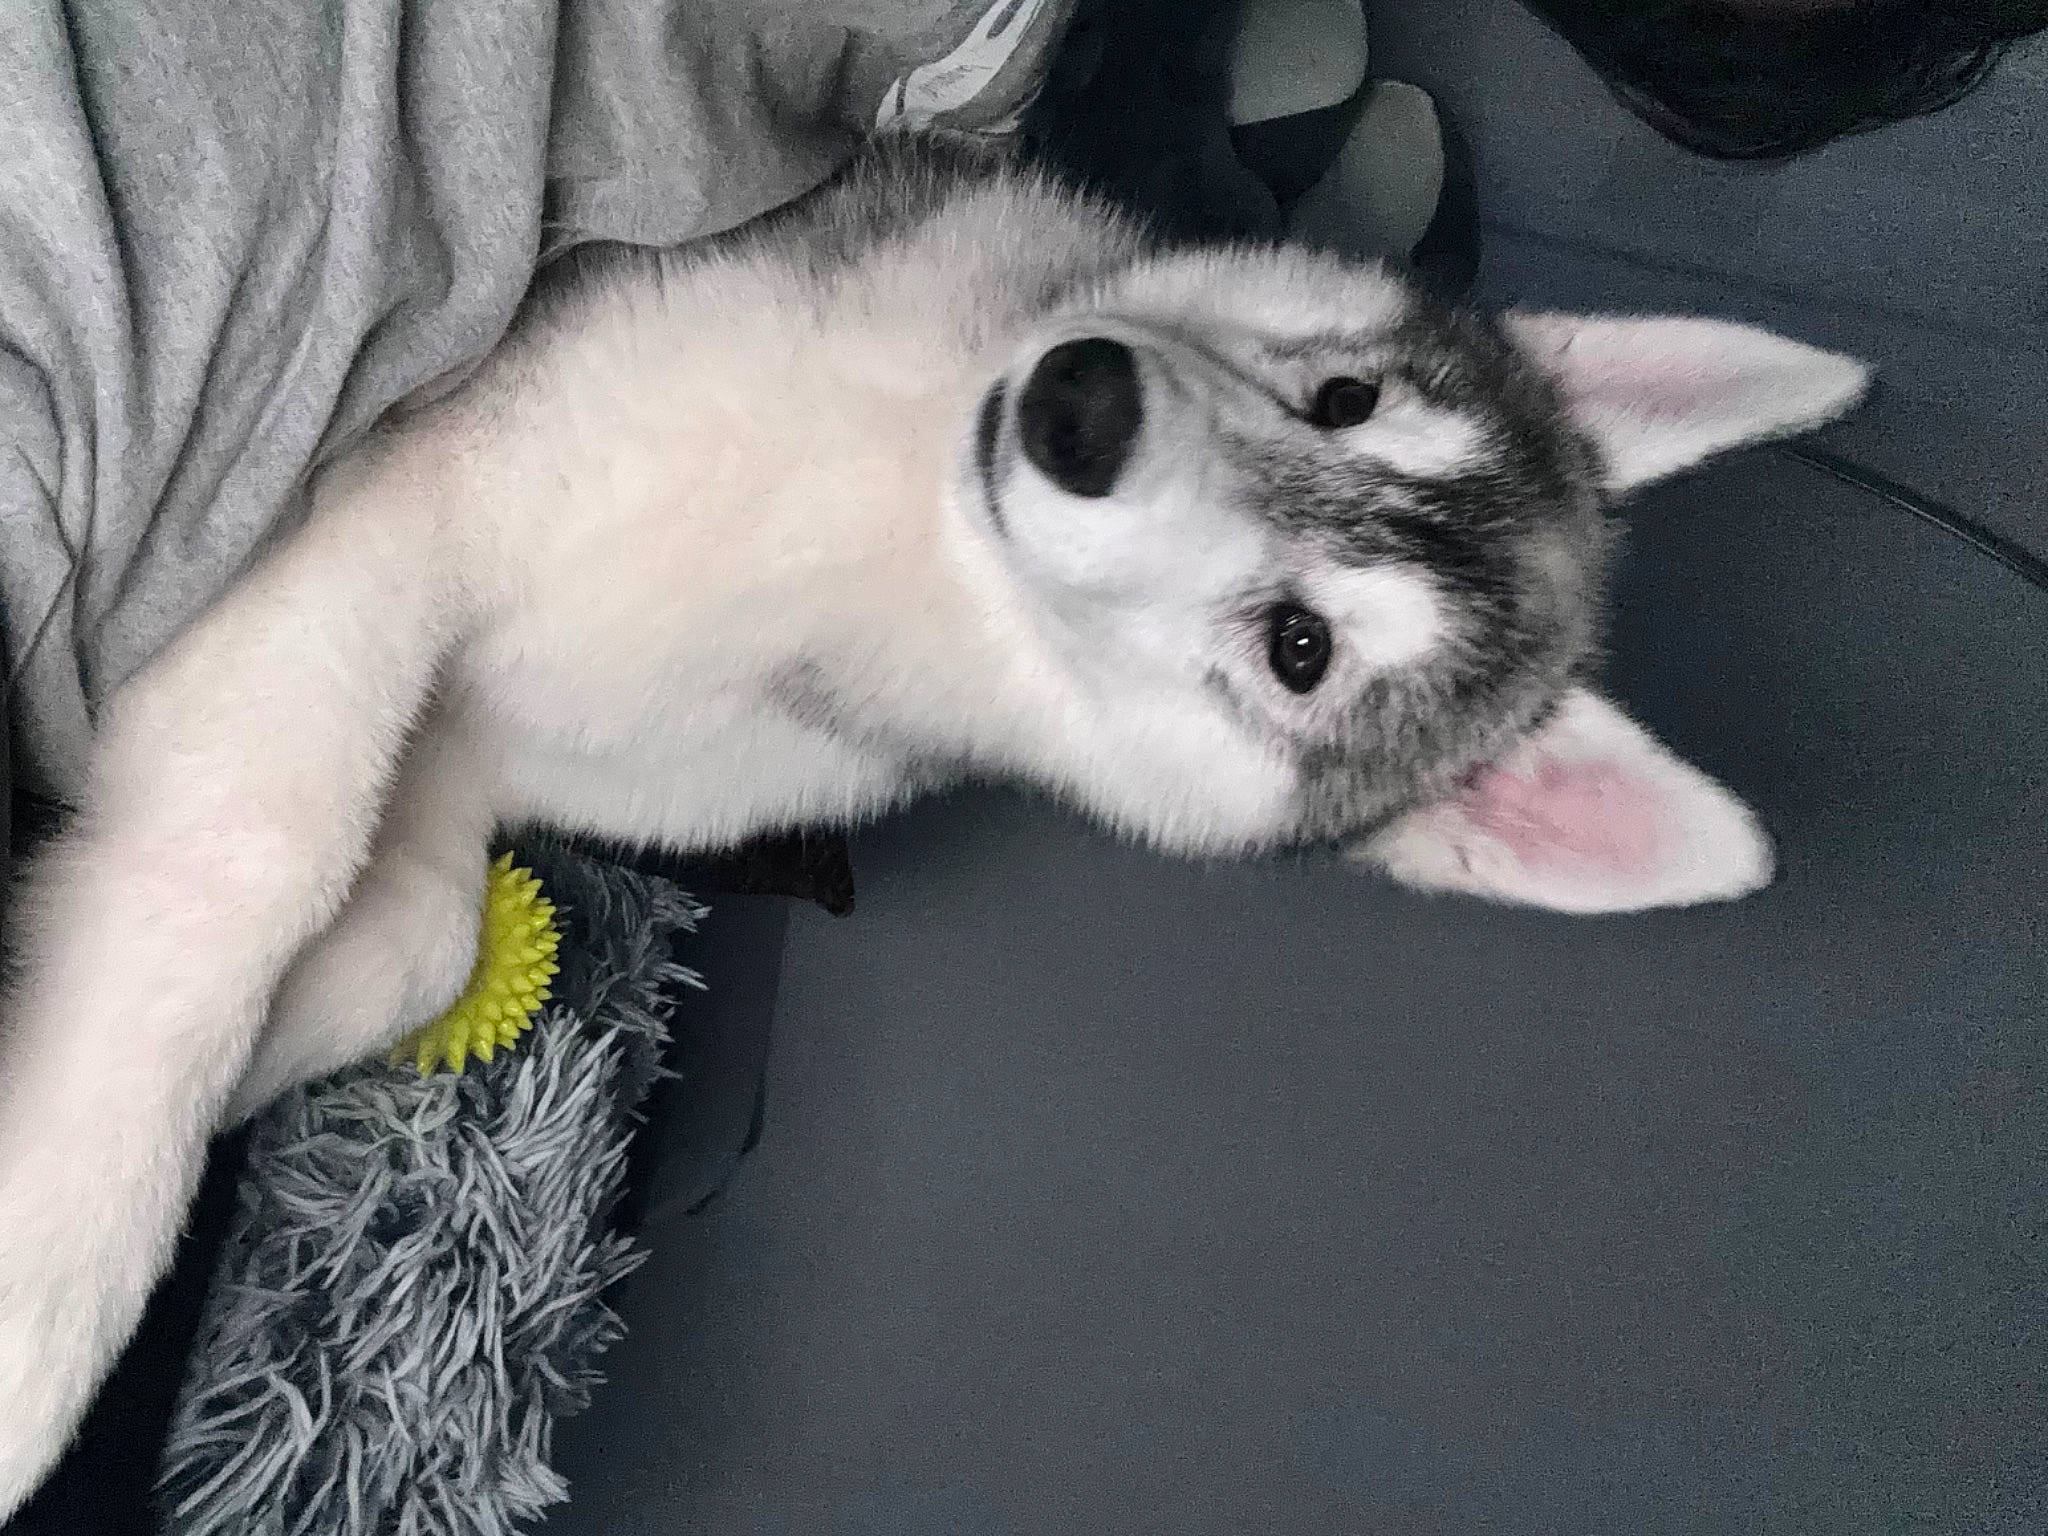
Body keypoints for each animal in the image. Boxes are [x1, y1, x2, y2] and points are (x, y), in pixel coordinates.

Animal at [0, 136, 1865, 1513]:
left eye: (1301, 649)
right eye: (1346, 395)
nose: (1080, 401)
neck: (907, 519)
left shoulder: (494, 727)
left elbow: (415, 922)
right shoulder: (389, 498)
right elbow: (278, 852)